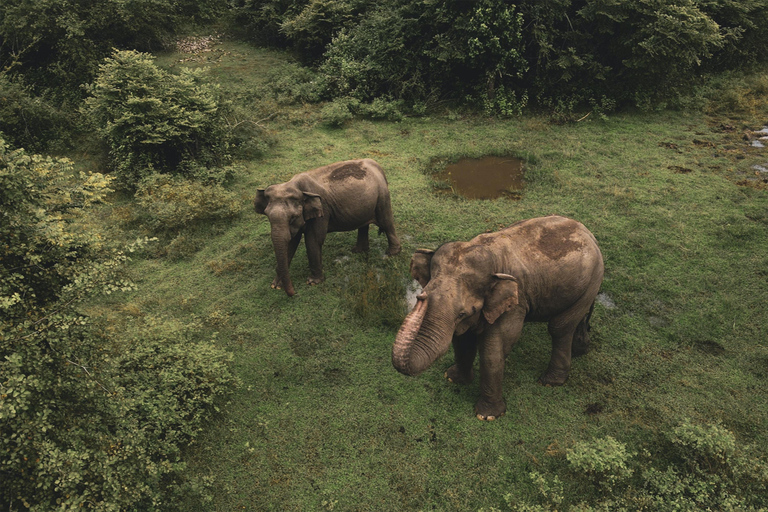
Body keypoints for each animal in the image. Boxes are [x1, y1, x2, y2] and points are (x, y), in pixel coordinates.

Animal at [256, 159, 402, 296]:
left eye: (293, 217)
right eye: (267, 216)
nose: (294, 293)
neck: (294, 185)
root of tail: (377, 165)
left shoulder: (322, 211)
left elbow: (314, 240)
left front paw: (313, 282)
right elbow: (291, 243)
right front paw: (275, 285)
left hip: (382, 197)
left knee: (386, 222)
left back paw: (392, 253)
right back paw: (358, 251)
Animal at [392, 215, 604, 420]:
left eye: (463, 313)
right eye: (423, 293)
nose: (421, 298)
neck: (488, 252)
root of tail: (589, 233)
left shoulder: (515, 303)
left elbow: (494, 350)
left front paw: (487, 416)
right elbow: (462, 340)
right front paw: (453, 378)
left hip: (593, 278)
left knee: (559, 327)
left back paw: (549, 382)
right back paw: (580, 350)